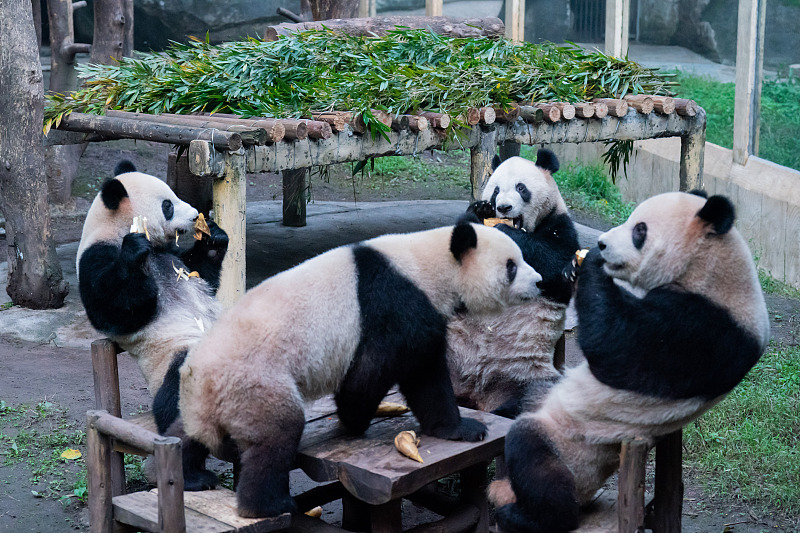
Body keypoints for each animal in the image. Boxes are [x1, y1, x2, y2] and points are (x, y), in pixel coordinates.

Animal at [76, 160, 229, 490]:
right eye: (168, 205)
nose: (195, 214)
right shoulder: (96, 259)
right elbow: (113, 310)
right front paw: (135, 253)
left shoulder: (175, 258)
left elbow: (203, 275)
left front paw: (214, 237)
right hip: (175, 360)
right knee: (177, 401)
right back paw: (193, 475)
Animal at [172, 221, 542, 518]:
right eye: (511, 266)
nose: (539, 282)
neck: (430, 263)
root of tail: (203, 382)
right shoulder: (395, 305)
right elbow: (377, 371)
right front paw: (356, 419)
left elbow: (422, 374)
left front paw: (455, 428)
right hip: (255, 381)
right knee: (275, 436)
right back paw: (270, 505)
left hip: (197, 396)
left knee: (184, 435)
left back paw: (193, 475)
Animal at [447, 150, 579, 415]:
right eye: (496, 190)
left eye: (521, 188)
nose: (504, 207)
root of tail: (475, 393)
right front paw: (478, 211)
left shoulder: (561, 227)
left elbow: (554, 264)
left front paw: (507, 233)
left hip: (525, 371)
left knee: (533, 395)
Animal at [488, 191, 770, 533]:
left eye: (640, 230)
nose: (601, 244)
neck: (713, 268)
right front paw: (572, 267)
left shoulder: (705, 330)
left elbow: (613, 347)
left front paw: (590, 264)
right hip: (542, 395)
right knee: (518, 401)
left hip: (575, 446)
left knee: (534, 458)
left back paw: (524, 516)